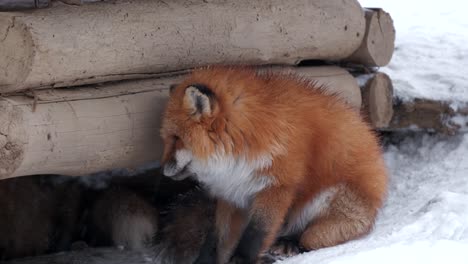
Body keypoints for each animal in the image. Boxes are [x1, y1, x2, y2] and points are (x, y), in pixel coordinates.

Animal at [161, 66, 388, 264]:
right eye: (168, 139)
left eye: (176, 139)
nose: (163, 171)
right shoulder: (232, 193)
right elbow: (217, 239)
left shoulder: (277, 187)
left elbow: (256, 234)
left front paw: (242, 260)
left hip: (328, 200)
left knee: (309, 238)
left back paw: (290, 245)